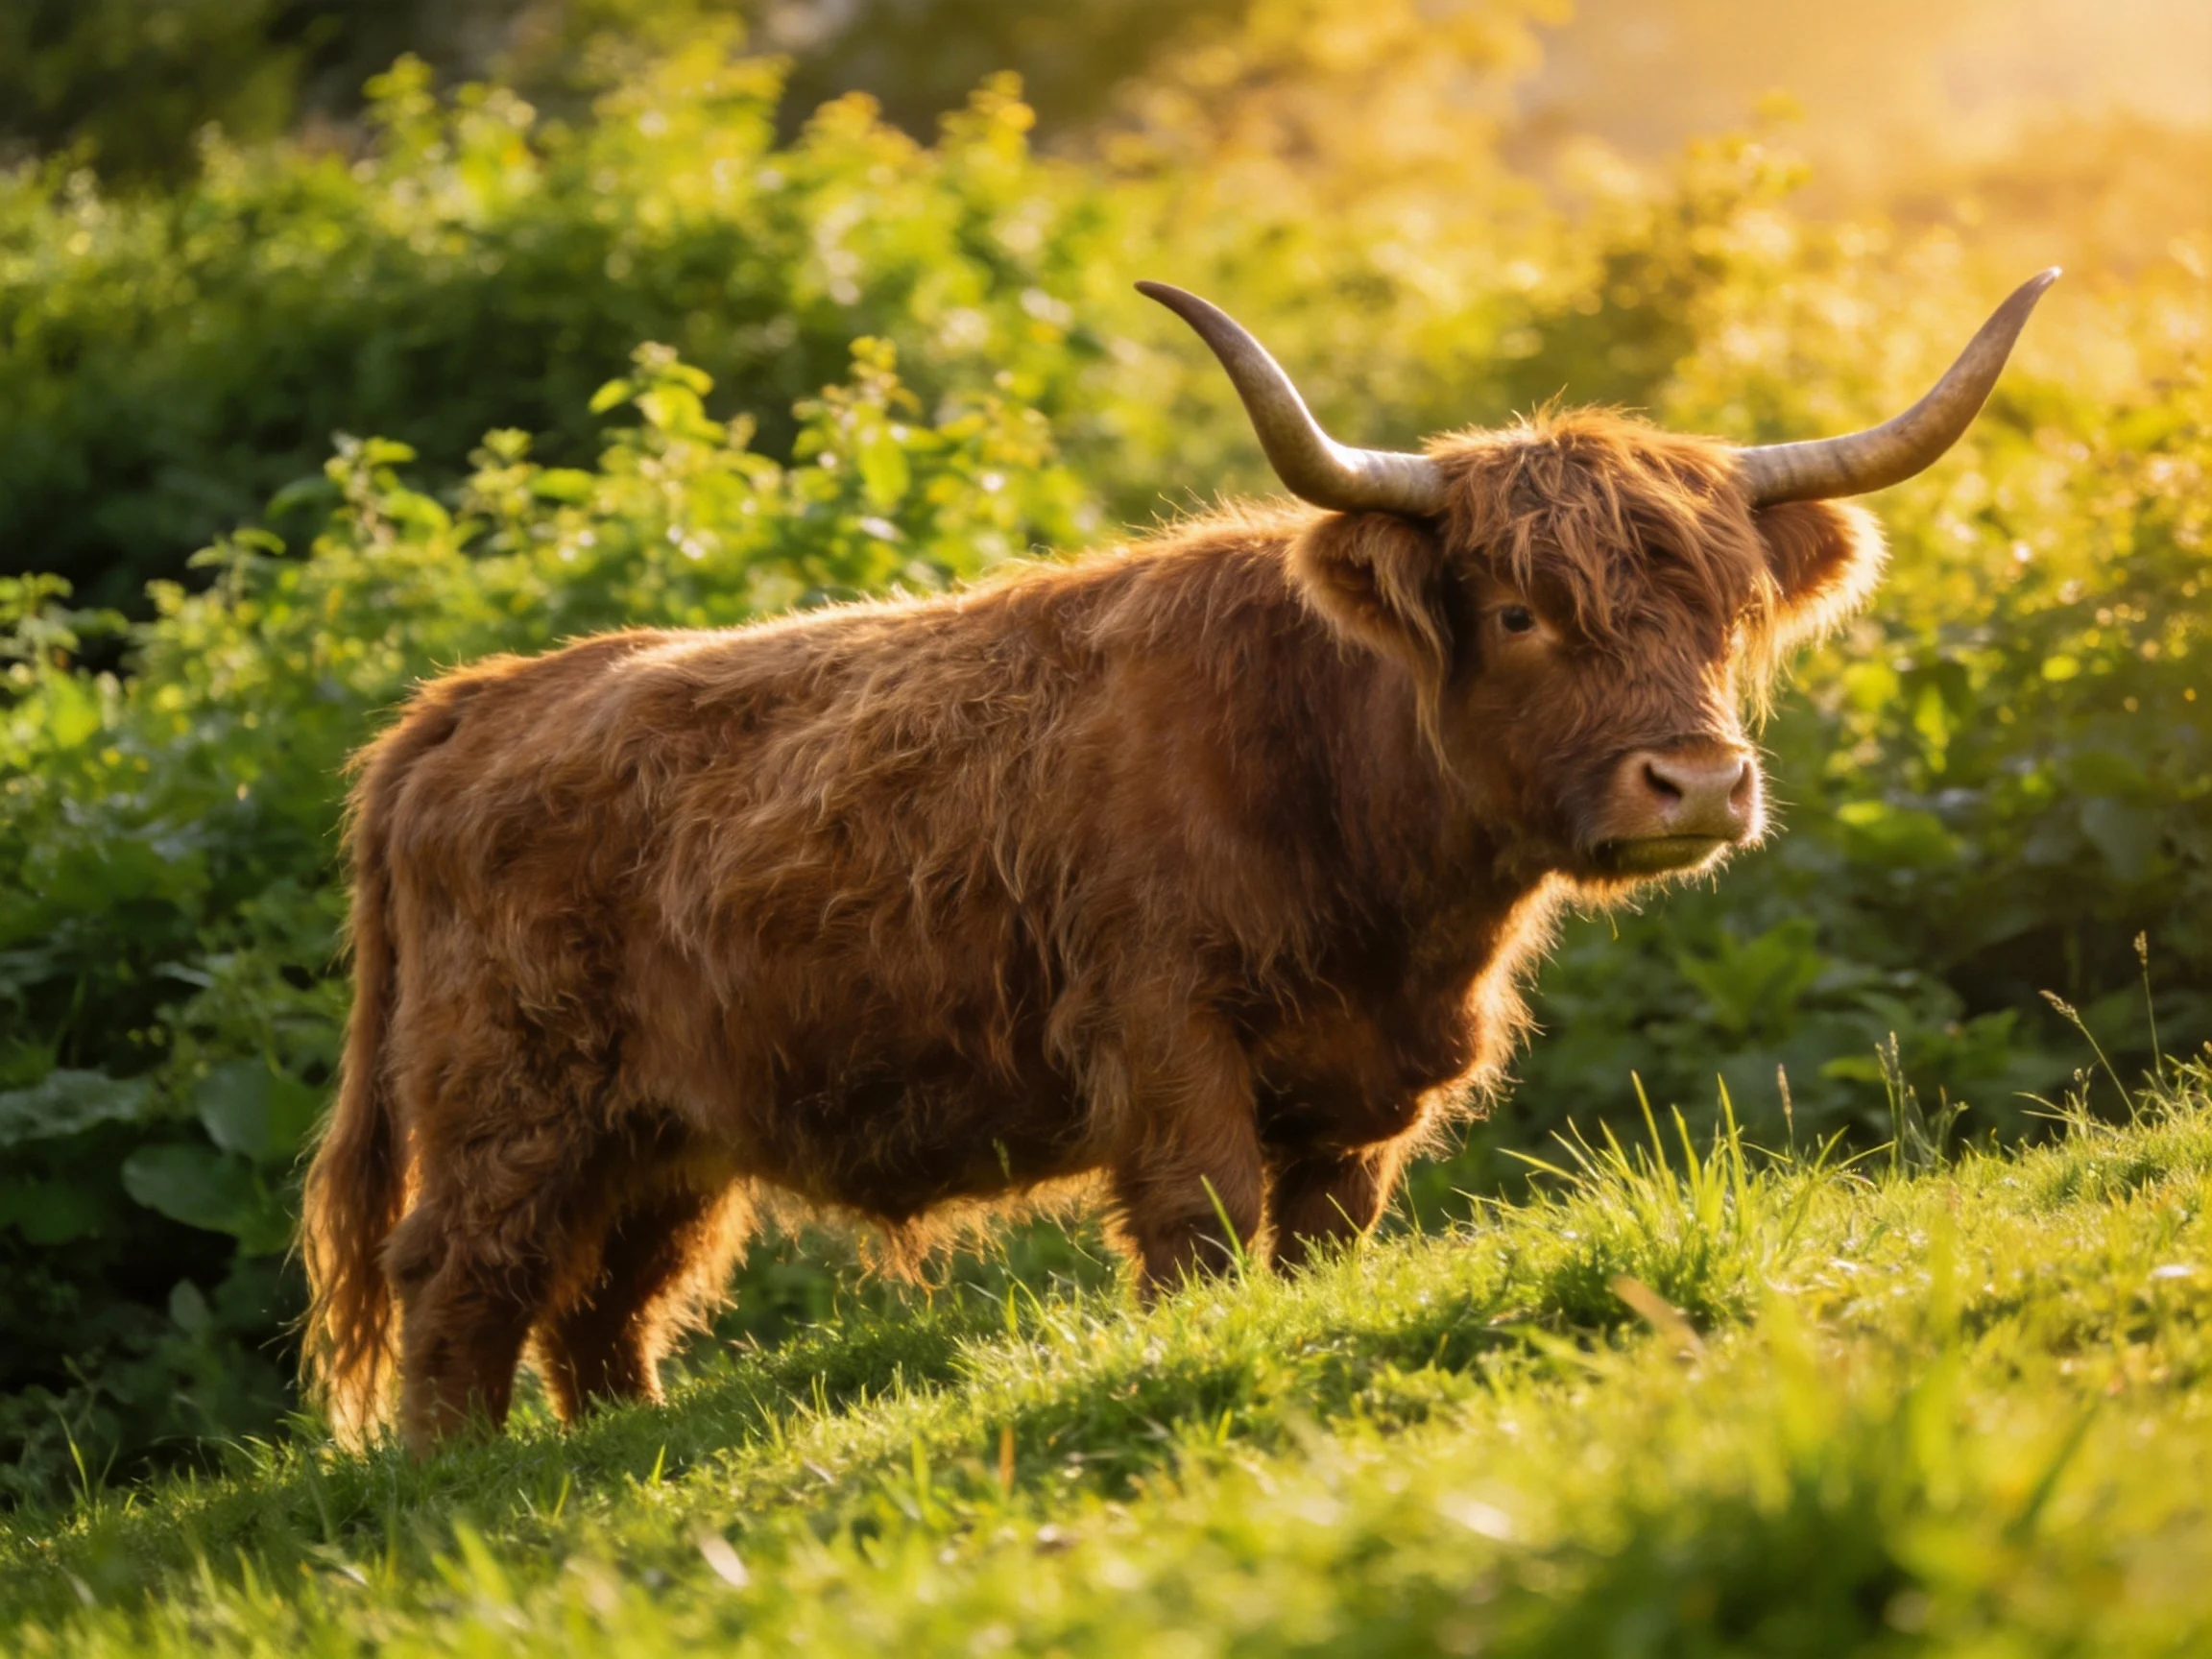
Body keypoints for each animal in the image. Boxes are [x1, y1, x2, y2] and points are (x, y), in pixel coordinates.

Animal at [301, 270, 2057, 1452]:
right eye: (1515, 611)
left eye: (1723, 613)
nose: (1693, 780)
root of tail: (473, 702)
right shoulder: (1160, 1031)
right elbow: (1204, 1227)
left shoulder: (1363, 1089)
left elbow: (1324, 1238)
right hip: (514, 1096)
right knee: (464, 1275)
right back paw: (455, 1475)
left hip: (664, 1132)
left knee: (607, 1301)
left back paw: (620, 1445)